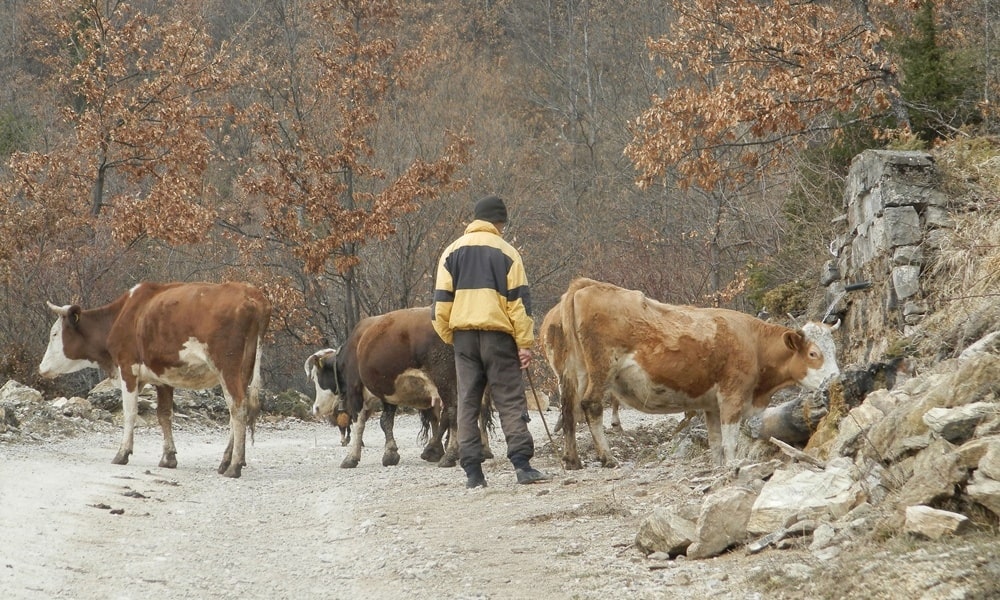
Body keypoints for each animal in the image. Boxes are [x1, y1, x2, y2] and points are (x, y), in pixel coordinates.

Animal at [39, 282, 270, 478]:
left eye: (54, 334)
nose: (41, 368)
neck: (122, 315)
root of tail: (252, 293)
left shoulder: (127, 368)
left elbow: (130, 413)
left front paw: (122, 453)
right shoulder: (162, 377)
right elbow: (164, 415)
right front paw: (168, 457)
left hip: (226, 366)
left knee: (237, 408)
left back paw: (234, 466)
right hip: (244, 370)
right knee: (236, 411)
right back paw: (226, 461)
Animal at [540, 276, 836, 468]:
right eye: (813, 353)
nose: (834, 379)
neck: (753, 342)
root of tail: (586, 285)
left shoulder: (711, 405)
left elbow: (715, 442)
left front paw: (718, 467)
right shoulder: (732, 395)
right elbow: (730, 442)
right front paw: (732, 467)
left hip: (572, 373)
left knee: (568, 410)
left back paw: (572, 459)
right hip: (601, 370)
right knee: (590, 405)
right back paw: (607, 457)